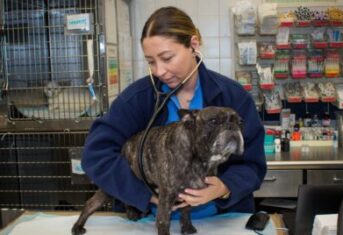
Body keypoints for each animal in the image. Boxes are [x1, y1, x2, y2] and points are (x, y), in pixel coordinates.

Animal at [72, 106, 245, 235]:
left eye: (240, 122)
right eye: (213, 121)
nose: (232, 126)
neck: (200, 160)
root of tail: (126, 145)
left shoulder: (189, 194)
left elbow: (186, 212)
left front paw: (187, 228)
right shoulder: (166, 198)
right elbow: (163, 221)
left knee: (127, 197)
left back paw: (132, 213)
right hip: (110, 187)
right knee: (92, 203)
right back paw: (78, 227)